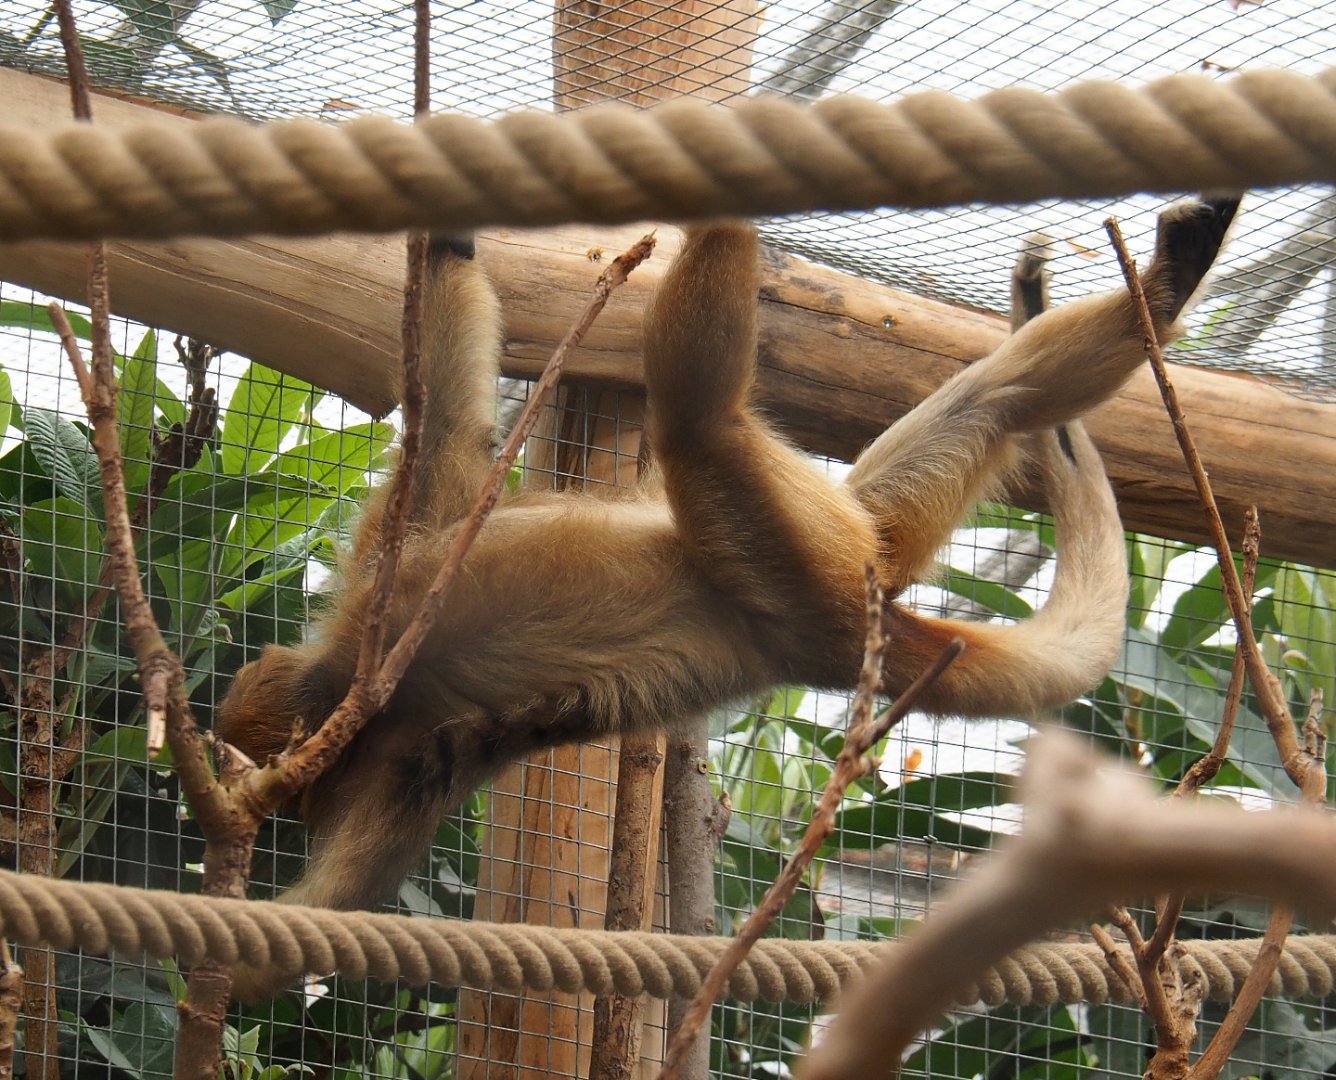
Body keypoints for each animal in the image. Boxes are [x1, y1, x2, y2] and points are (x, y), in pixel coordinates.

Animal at [216, 199, 1239, 930]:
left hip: (787, 548)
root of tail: (831, 642)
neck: (351, 677)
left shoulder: (395, 577)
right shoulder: (404, 747)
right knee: (958, 404)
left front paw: (449, 240)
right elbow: (321, 916)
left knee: (701, 421)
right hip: (814, 553)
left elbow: (450, 421)